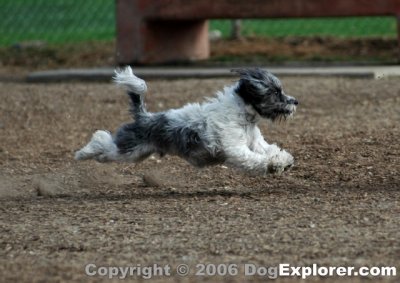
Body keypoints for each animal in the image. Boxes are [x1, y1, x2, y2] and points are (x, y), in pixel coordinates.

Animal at [76, 67, 298, 176]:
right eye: (275, 92)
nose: (295, 101)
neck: (243, 115)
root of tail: (144, 116)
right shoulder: (235, 148)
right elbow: (254, 159)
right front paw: (273, 164)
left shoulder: (256, 143)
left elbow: (271, 149)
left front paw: (283, 160)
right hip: (127, 149)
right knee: (100, 139)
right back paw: (82, 153)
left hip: (136, 154)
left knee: (104, 152)